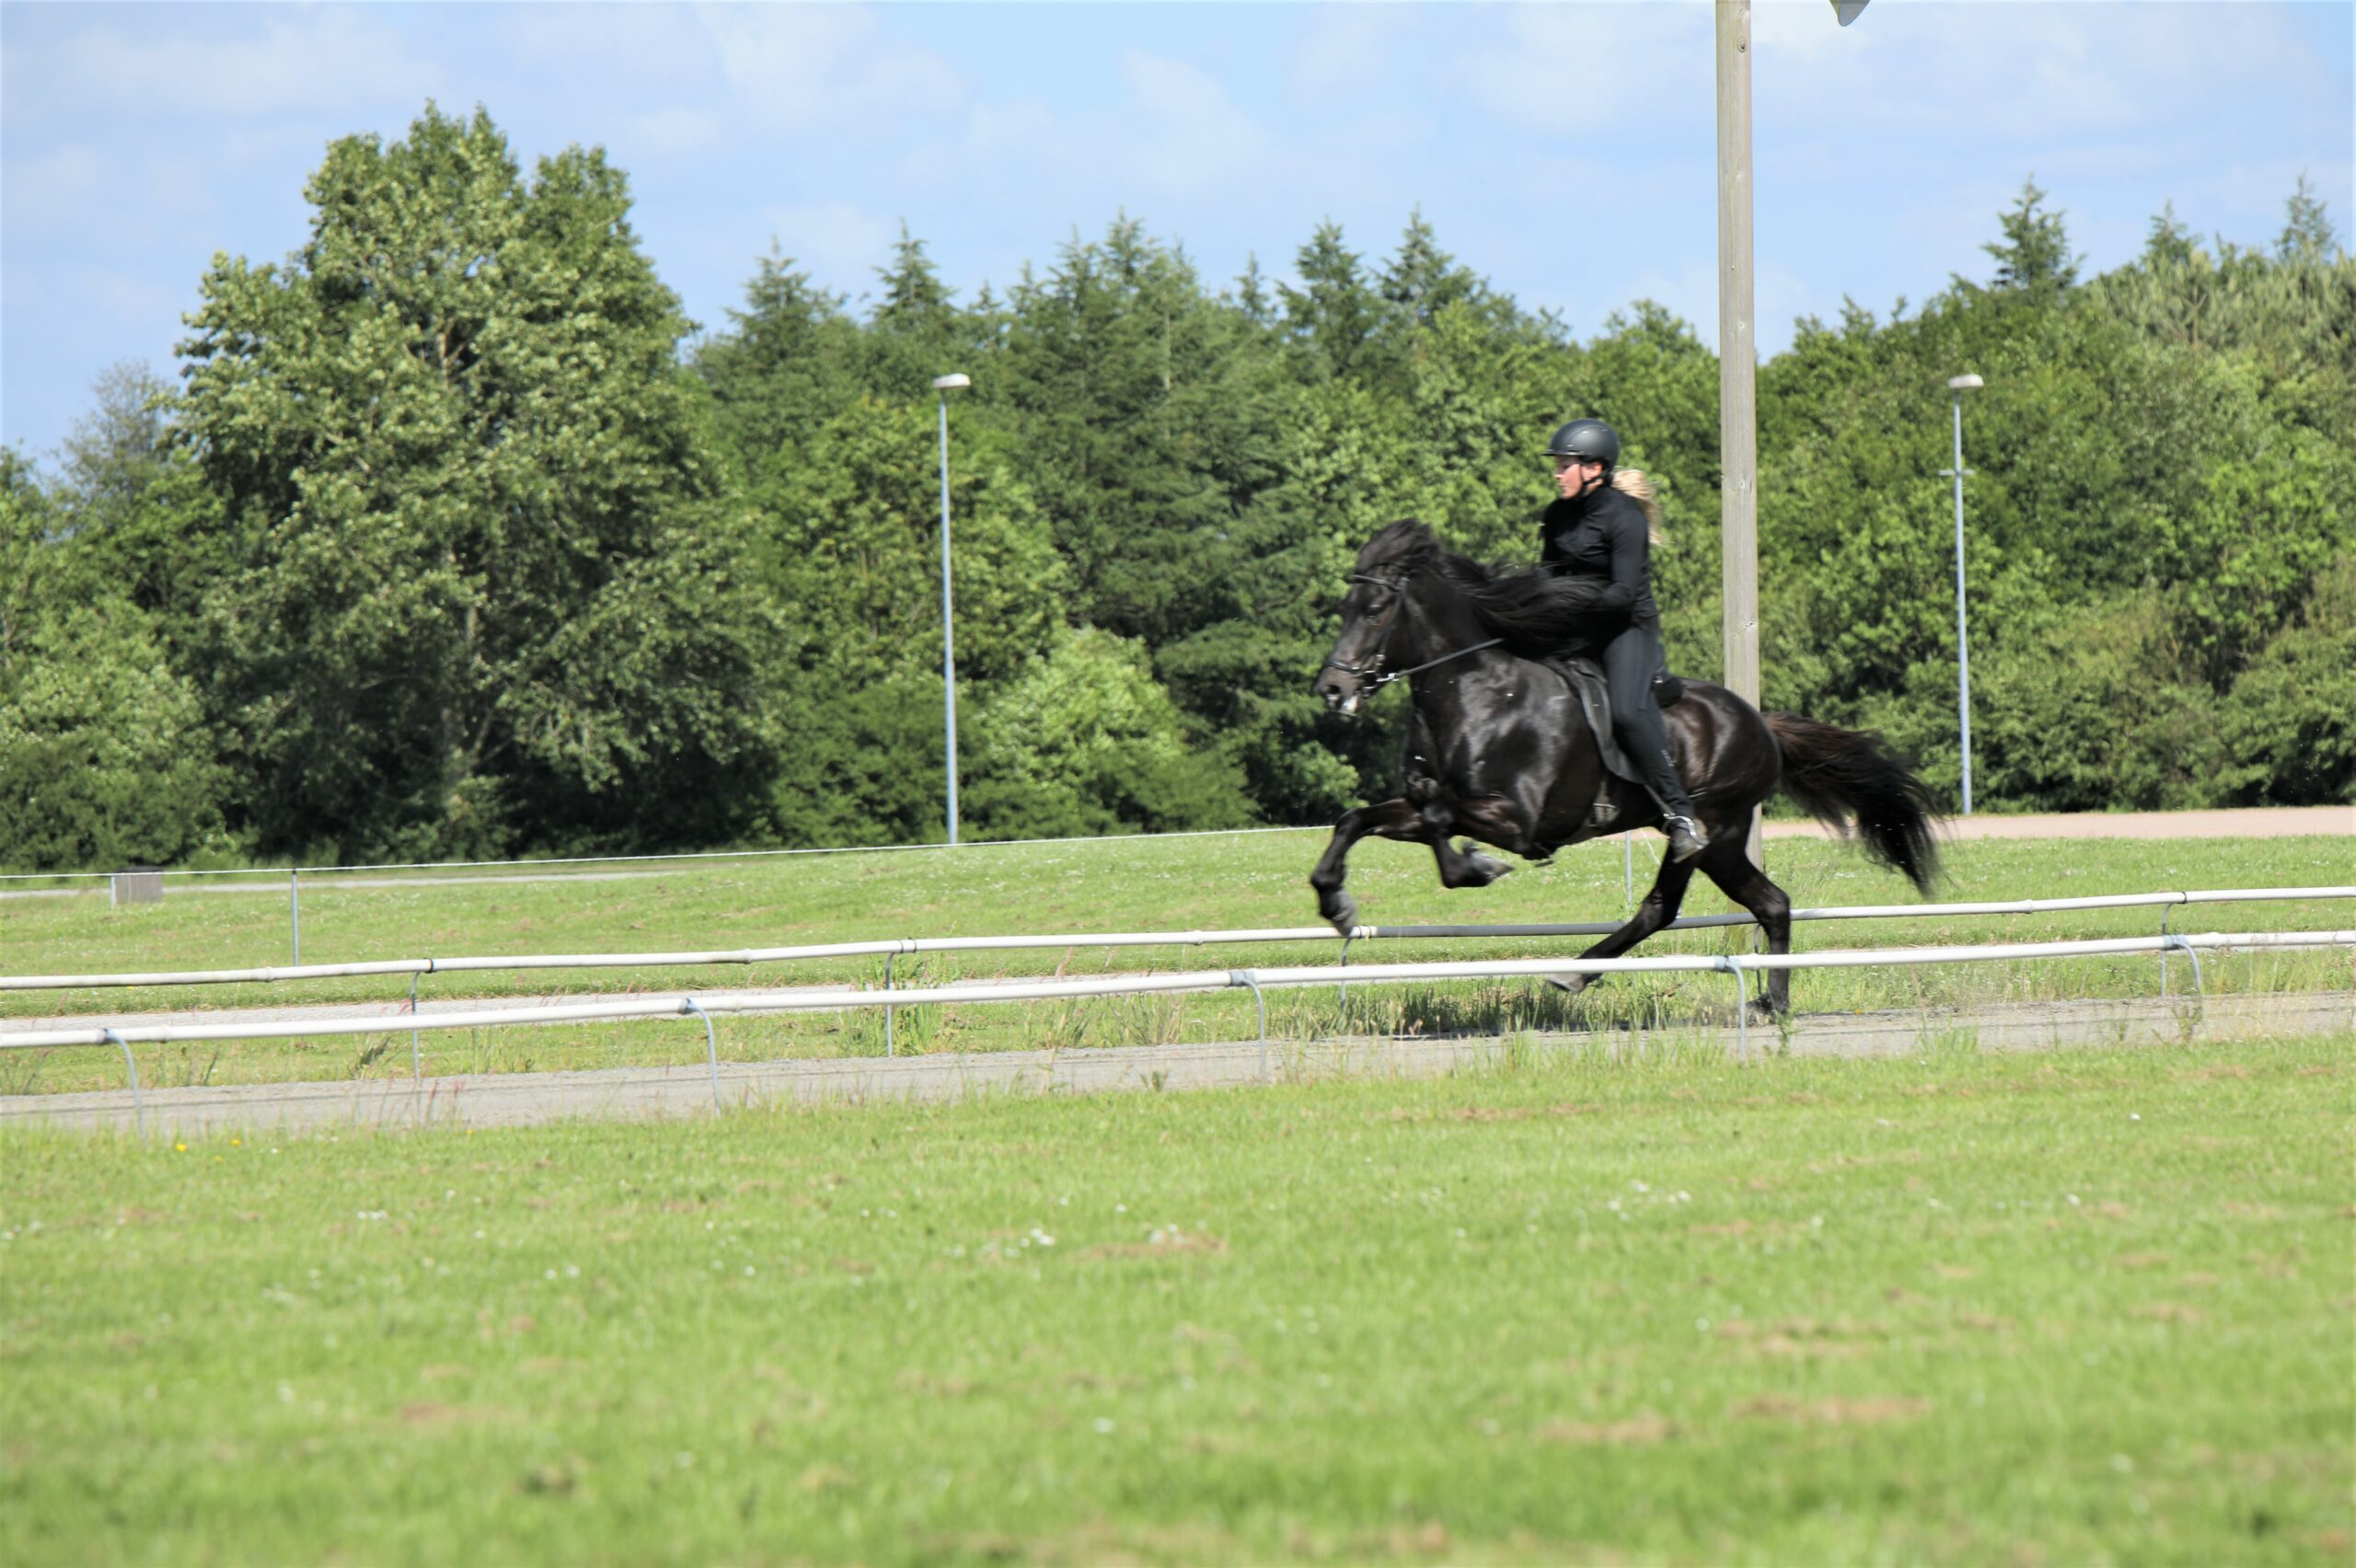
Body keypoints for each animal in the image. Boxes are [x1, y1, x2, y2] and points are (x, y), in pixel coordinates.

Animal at [1300, 517, 1941, 1012]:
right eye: (1345, 608)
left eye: (1375, 610)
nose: (1332, 689)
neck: (1475, 693)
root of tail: (1762, 724)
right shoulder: (1420, 802)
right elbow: (1359, 819)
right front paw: (1337, 904)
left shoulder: (1518, 822)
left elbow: (1440, 822)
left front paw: (1475, 868)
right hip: (1723, 842)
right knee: (1767, 904)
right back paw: (1770, 1000)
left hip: (1709, 828)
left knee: (1667, 905)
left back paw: (1580, 971)